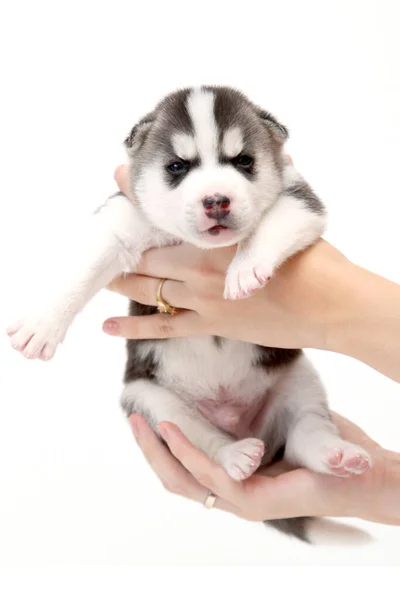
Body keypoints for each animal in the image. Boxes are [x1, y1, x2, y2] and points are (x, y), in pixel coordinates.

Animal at [7, 86, 372, 540]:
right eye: (177, 166)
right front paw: (40, 326)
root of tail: (243, 425)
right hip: (150, 399)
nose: (216, 200)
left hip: (299, 382)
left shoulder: (300, 198)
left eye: (244, 161)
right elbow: (80, 272)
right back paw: (236, 456)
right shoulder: (120, 222)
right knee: (204, 439)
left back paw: (338, 454)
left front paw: (245, 270)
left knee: (307, 433)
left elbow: (271, 226)